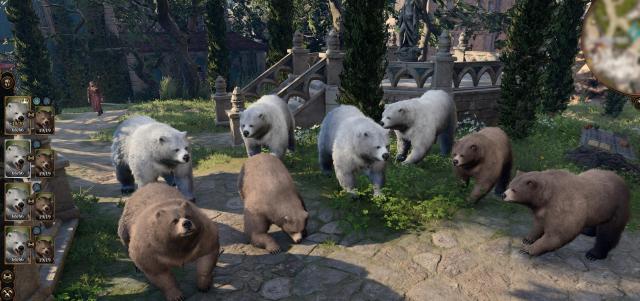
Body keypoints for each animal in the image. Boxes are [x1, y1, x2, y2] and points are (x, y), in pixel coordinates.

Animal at [504, 169, 632, 260]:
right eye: (510, 184)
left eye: (514, 190)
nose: (503, 194)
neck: (547, 197)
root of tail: (622, 180)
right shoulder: (542, 210)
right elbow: (538, 225)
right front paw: (528, 239)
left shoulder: (564, 206)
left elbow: (558, 234)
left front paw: (528, 249)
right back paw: (587, 230)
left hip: (615, 207)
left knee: (608, 233)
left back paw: (594, 254)